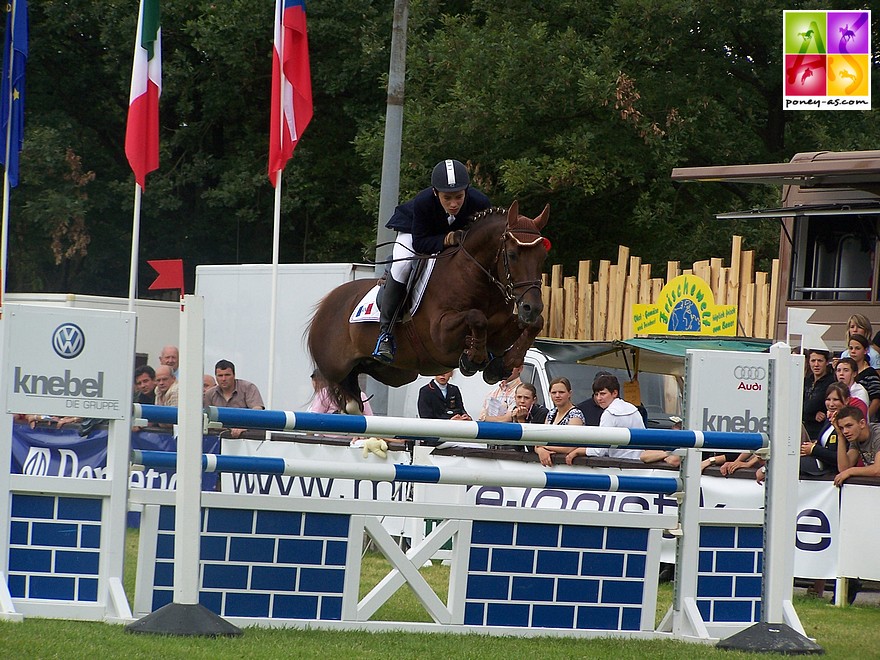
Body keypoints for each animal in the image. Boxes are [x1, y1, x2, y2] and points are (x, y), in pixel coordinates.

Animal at [306, 201, 548, 410]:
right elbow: (476, 317)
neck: (475, 277)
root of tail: (325, 305)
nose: (531, 307)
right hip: (337, 369)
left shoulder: (500, 333)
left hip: (399, 373)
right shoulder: (441, 335)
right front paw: (474, 357)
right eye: (512, 255)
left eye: (542, 256)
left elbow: (535, 324)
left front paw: (506, 362)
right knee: (348, 397)